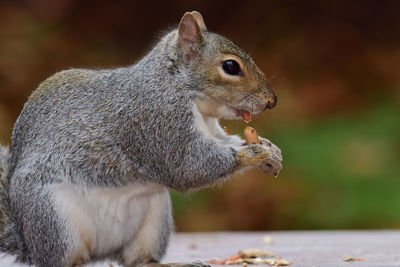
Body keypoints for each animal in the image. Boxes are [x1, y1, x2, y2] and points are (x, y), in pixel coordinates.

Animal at [0, 11, 282, 266]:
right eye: (230, 66)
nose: (271, 101)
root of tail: (28, 244)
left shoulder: (212, 131)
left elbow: (225, 144)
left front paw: (270, 150)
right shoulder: (158, 123)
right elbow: (187, 167)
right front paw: (255, 154)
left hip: (154, 220)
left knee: (139, 260)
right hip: (54, 221)